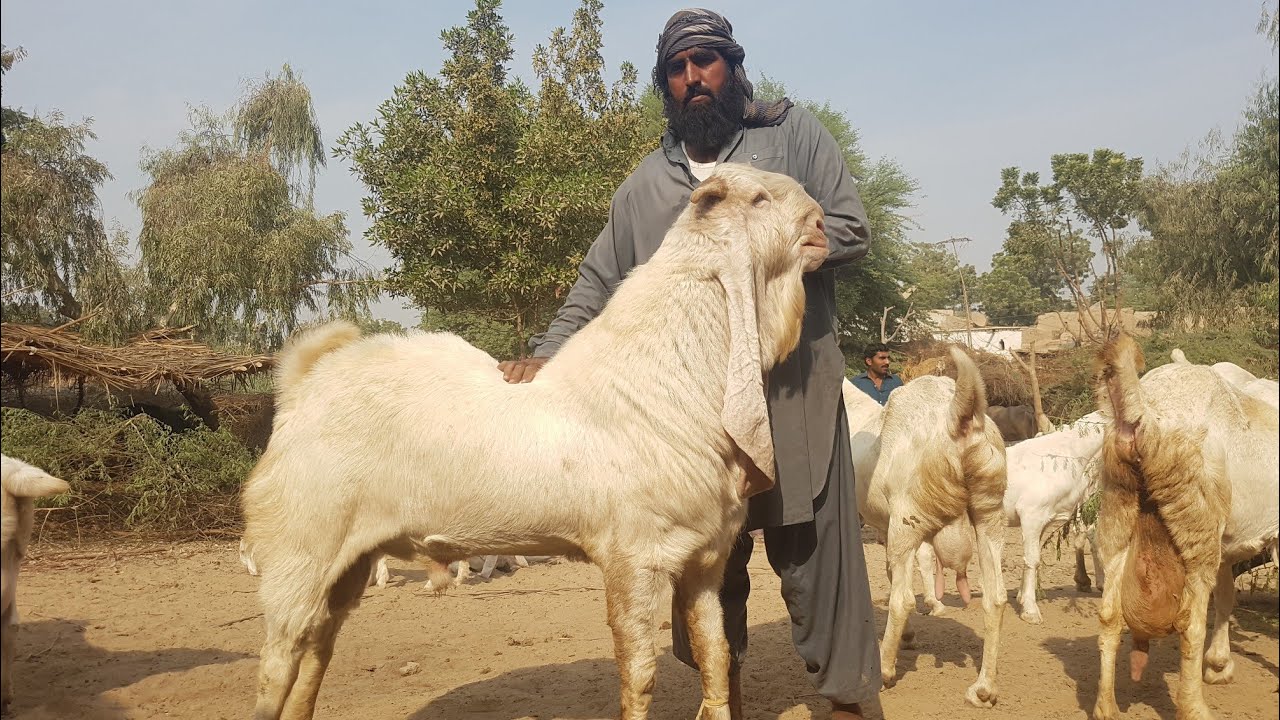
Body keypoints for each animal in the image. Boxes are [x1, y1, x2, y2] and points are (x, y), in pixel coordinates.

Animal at [238, 163, 829, 720]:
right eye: (758, 198)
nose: (822, 224)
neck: (663, 373)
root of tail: (303, 385)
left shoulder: (705, 558)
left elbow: (714, 659)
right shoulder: (632, 558)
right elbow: (639, 674)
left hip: (347, 560)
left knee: (316, 650)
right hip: (301, 549)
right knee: (277, 663)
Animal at [855, 348, 1008, 708]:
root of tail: (960, 417)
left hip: (908, 517)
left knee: (902, 599)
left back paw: (884, 671)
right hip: (989, 509)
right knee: (995, 597)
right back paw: (983, 689)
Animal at [1092, 336, 1279, 720]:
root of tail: (1144, 416)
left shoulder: (1228, 541)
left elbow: (1227, 595)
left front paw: (1219, 665)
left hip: (1118, 508)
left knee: (1109, 615)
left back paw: (1107, 708)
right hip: (1197, 518)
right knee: (1189, 622)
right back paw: (1194, 708)